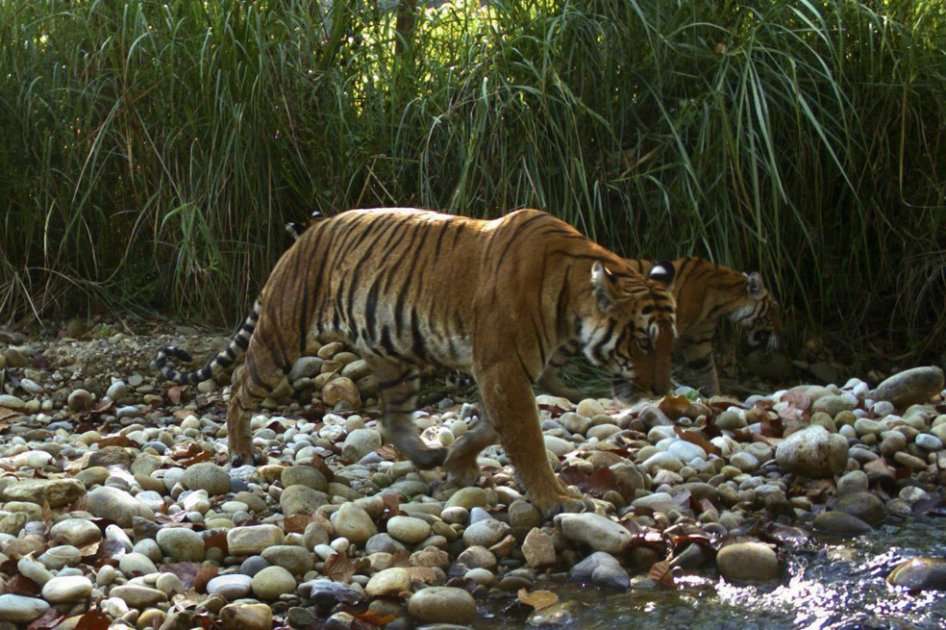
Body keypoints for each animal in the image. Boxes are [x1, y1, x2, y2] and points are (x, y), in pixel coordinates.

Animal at [156, 207, 676, 515]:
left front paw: (457, 462)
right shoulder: (503, 369)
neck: (571, 301)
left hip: (394, 357)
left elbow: (490, 427)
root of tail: (303, 237)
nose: (662, 391)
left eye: (670, 340)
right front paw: (559, 499)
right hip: (280, 340)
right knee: (238, 386)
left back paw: (426, 454)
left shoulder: (503, 373)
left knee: (392, 417)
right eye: (643, 342)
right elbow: (525, 438)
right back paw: (240, 449)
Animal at [537, 256, 780, 400]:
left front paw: (717, 398)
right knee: (547, 369)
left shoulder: (699, 342)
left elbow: (708, 372)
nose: (780, 336)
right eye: (773, 312)